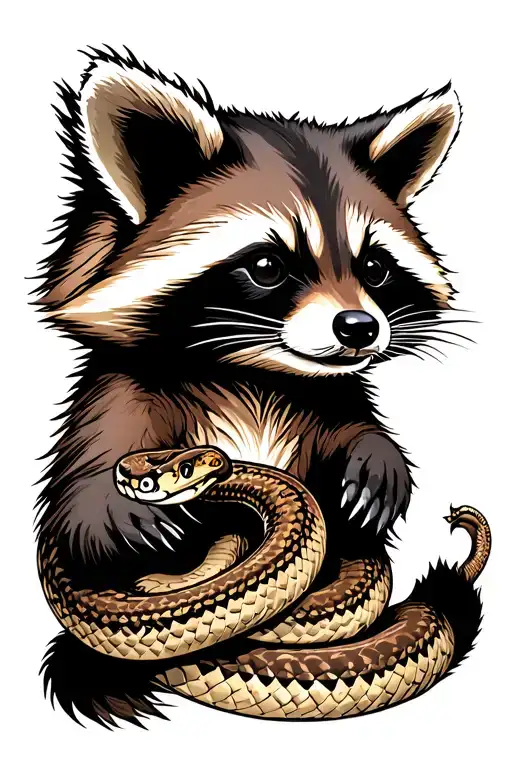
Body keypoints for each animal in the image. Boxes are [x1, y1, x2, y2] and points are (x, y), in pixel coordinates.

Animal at [37, 47, 460, 597]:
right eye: (266, 267)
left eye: (374, 267)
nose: (359, 327)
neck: (254, 376)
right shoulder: (118, 394)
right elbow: (83, 506)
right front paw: (119, 507)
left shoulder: (332, 396)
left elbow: (358, 429)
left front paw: (376, 459)